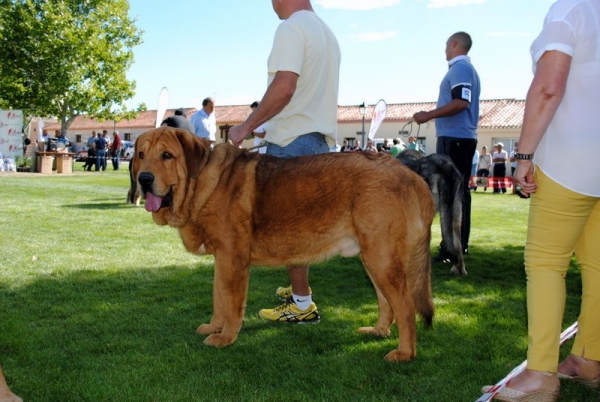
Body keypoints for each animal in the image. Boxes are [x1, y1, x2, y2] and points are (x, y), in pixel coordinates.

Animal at [131, 128, 434, 362]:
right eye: (141, 155)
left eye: (167, 156)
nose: (144, 179)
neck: (202, 180)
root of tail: (409, 174)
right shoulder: (222, 260)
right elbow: (218, 299)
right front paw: (214, 327)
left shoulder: (233, 260)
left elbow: (231, 305)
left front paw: (226, 337)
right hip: (373, 259)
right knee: (386, 303)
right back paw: (378, 331)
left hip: (382, 260)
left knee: (405, 307)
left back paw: (405, 353)